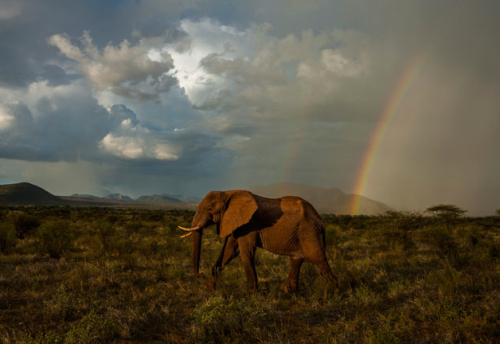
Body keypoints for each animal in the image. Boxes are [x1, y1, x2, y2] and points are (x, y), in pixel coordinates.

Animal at [178, 189, 338, 292]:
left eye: (209, 209)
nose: (200, 274)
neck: (228, 193)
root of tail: (320, 219)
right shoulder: (237, 223)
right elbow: (229, 251)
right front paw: (208, 288)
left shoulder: (249, 224)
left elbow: (245, 251)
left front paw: (251, 293)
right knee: (297, 259)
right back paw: (286, 291)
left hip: (308, 231)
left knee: (316, 257)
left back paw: (332, 293)